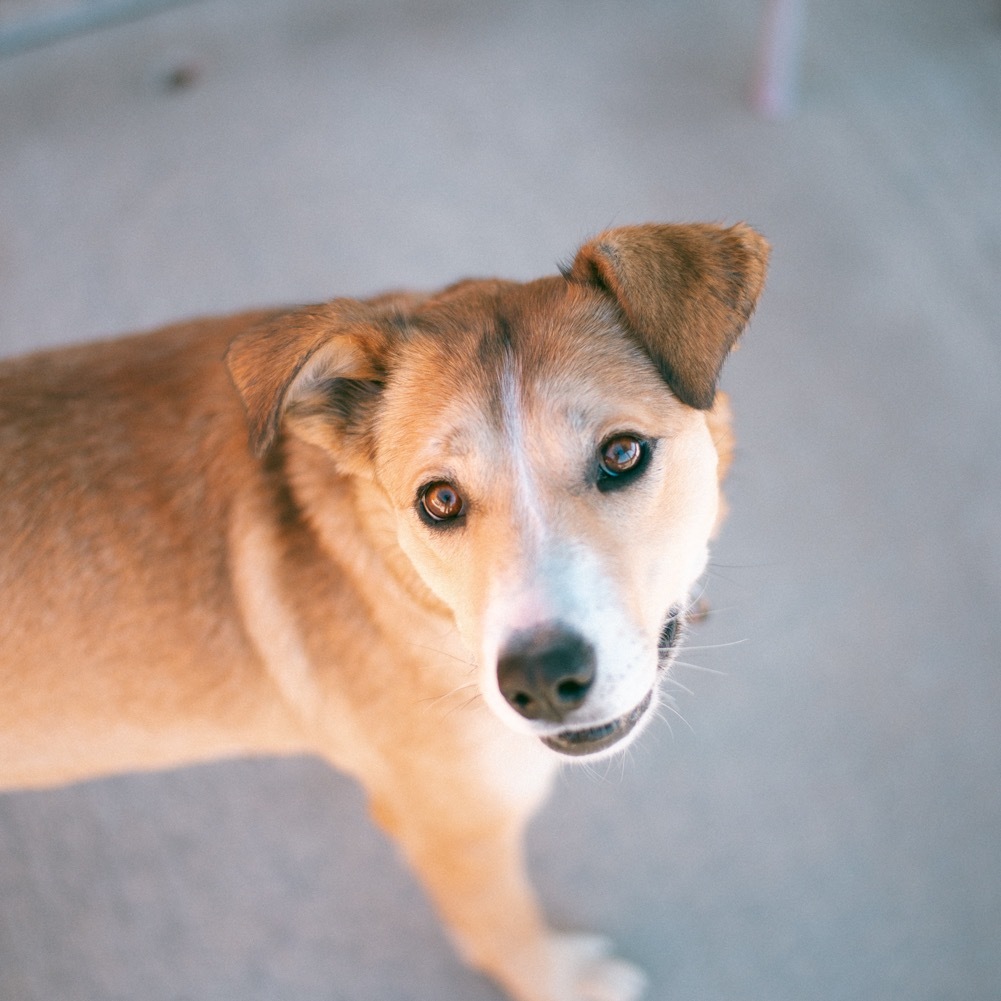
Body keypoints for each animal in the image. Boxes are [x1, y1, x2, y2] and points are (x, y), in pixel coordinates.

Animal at [0, 225, 768, 1001]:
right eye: (440, 500)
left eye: (622, 453)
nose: (541, 680)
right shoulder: (455, 831)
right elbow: (505, 931)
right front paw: (569, 982)